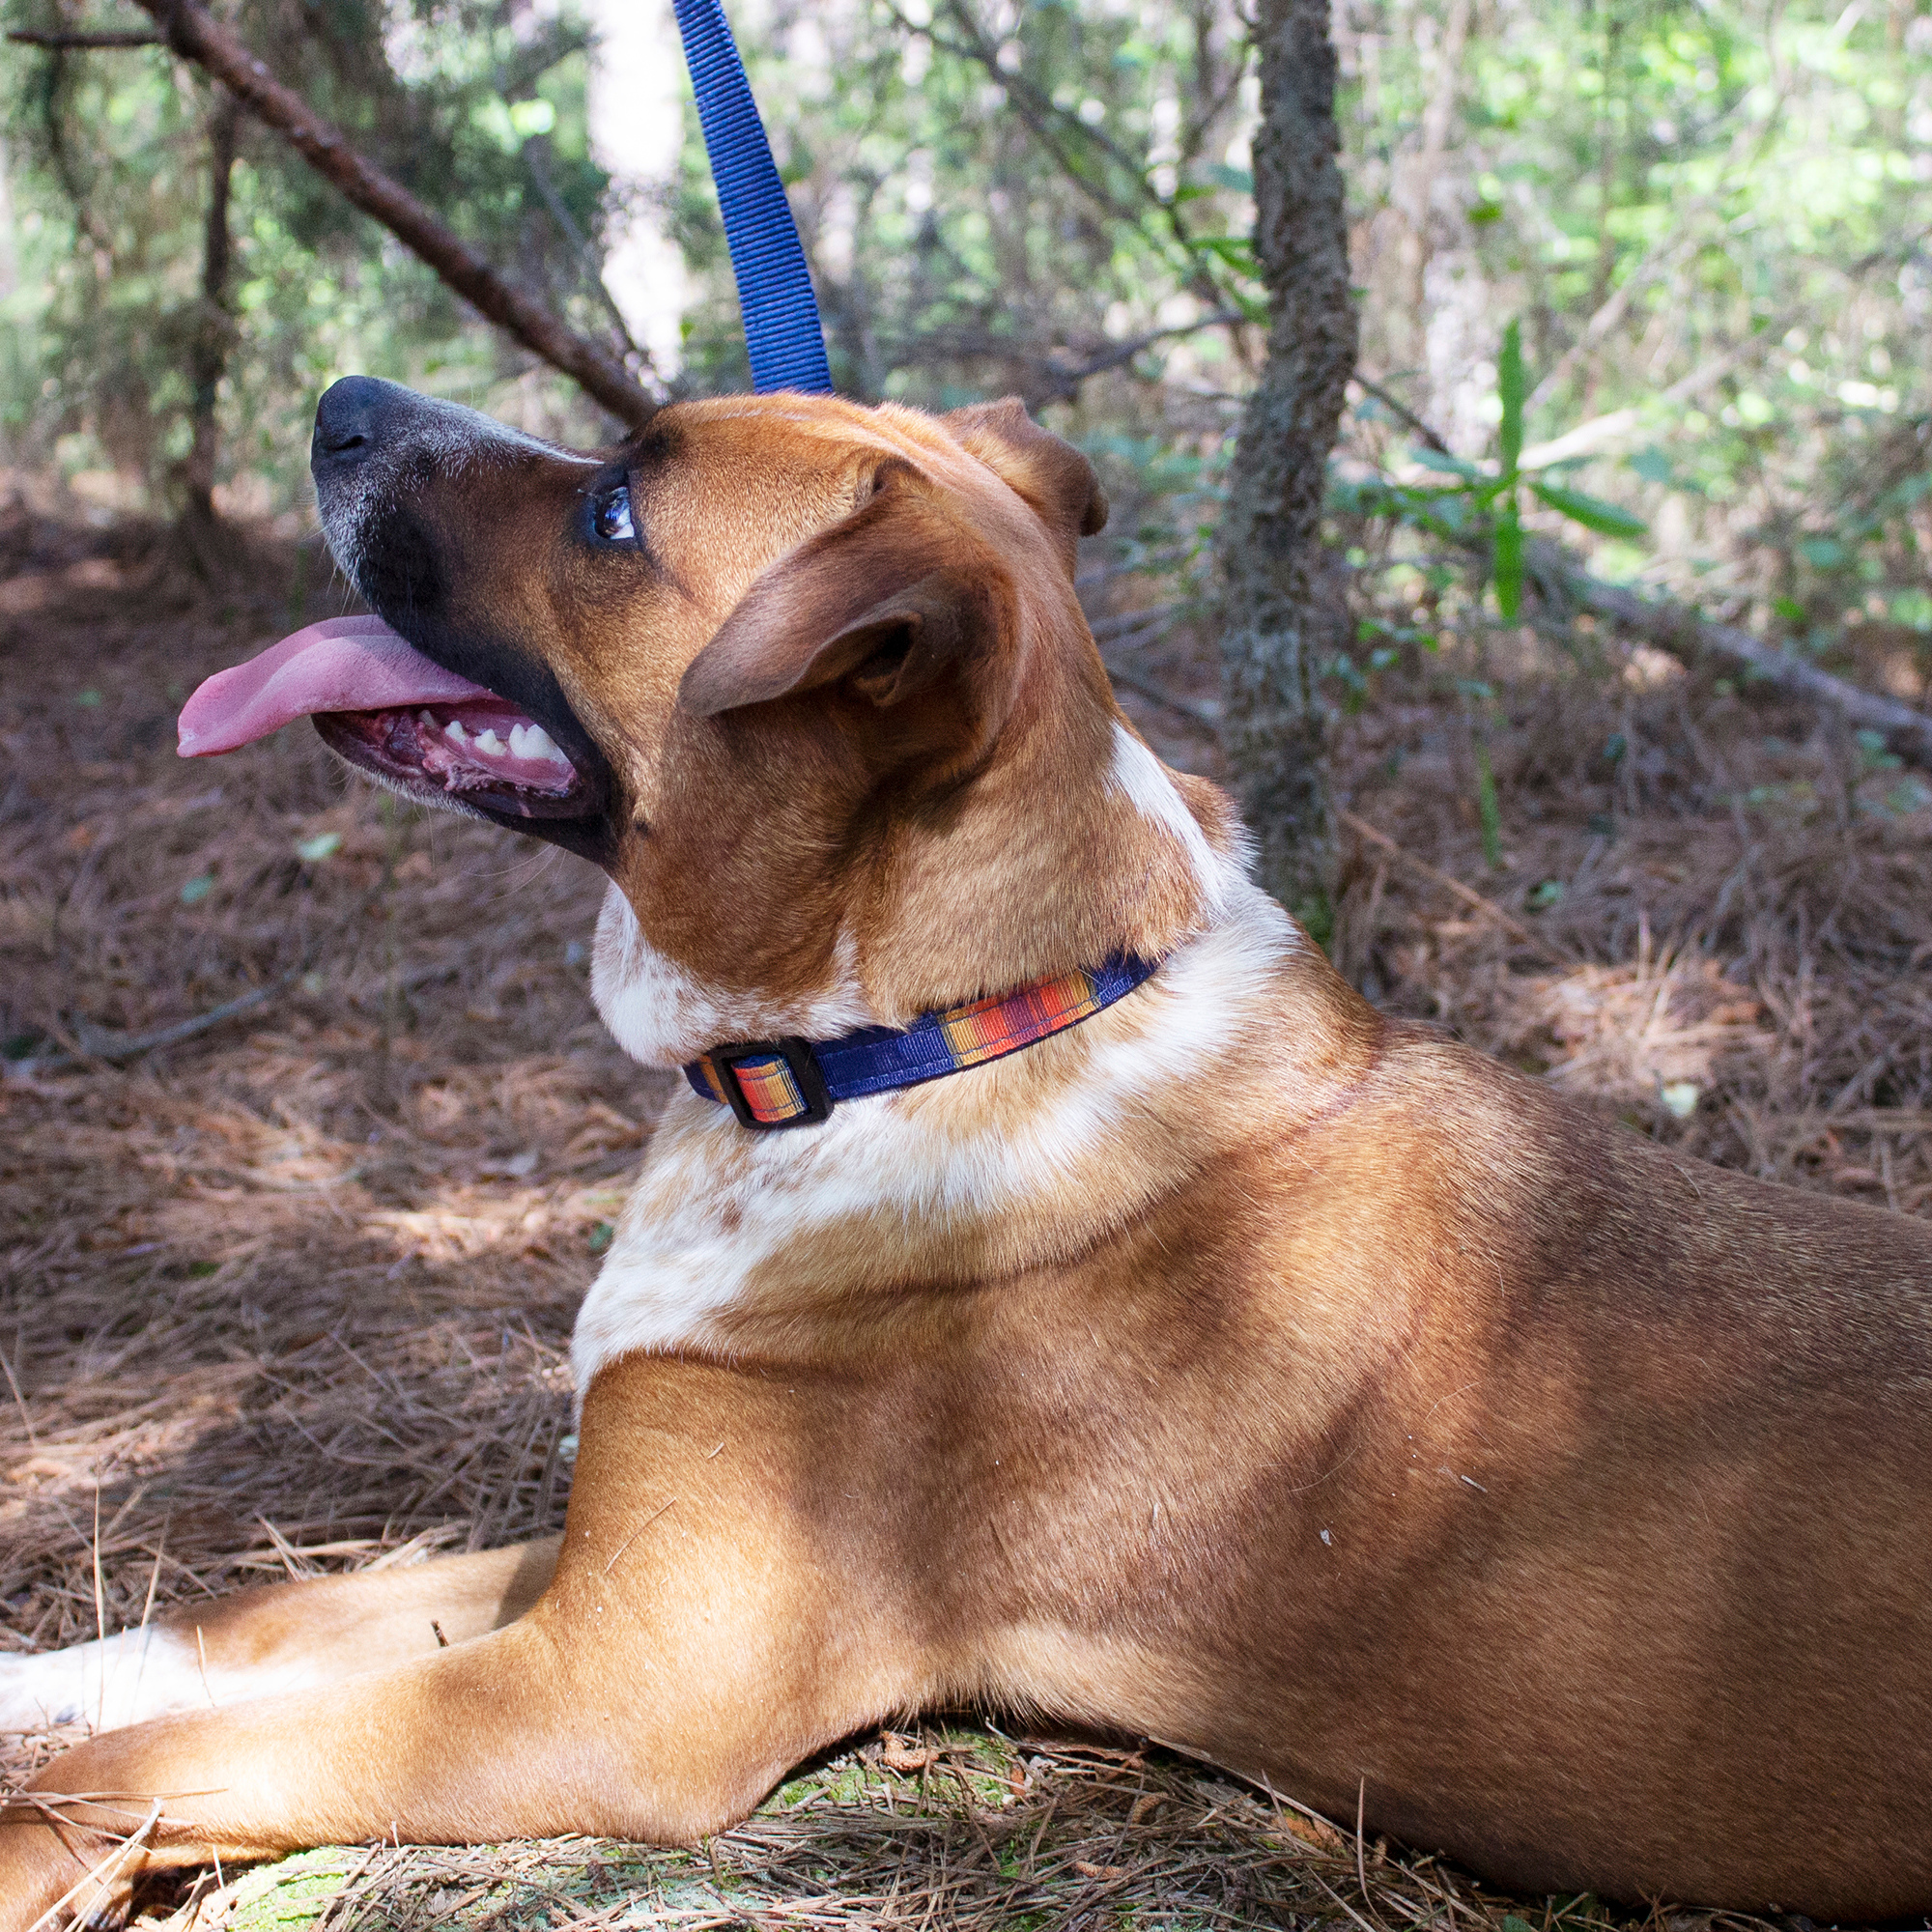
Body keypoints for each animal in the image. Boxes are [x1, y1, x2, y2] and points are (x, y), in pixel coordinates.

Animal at [3, 377, 1932, 1917]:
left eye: (619, 508)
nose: (338, 398)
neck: (917, 1038)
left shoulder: (615, 1690)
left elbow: (164, 1754)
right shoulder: (596, 1559)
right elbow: (237, 1634)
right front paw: (39, 1671)